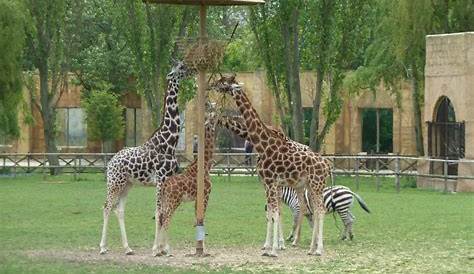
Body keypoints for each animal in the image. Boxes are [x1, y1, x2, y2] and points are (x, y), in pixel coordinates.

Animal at [100, 61, 194, 255]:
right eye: (180, 68)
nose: (192, 69)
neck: (169, 142)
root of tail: (110, 162)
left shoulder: (168, 181)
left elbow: (164, 211)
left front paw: (165, 248)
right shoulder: (160, 180)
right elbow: (159, 213)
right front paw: (156, 249)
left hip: (127, 184)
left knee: (119, 209)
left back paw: (127, 248)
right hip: (114, 183)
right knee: (106, 206)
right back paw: (103, 247)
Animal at [153, 113, 218, 256]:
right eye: (212, 119)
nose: (216, 114)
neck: (205, 165)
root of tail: (165, 185)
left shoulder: (197, 199)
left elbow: (197, 219)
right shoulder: (205, 195)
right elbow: (202, 219)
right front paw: (204, 249)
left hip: (165, 200)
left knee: (161, 217)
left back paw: (159, 249)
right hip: (174, 200)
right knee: (166, 219)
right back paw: (167, 249)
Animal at [213, 75, 332, 256]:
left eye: (224, 82)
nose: (212, 85)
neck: (263, 145)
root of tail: (326, 165)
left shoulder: (271, 183)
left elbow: (275, 212)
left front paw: (275, 248)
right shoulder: (268, 184)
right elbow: (271, 212)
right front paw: (268, 246)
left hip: (315, 185)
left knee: (319, 209)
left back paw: (317, 249)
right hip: (308, 186)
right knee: (311, 209)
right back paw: (310, 248)